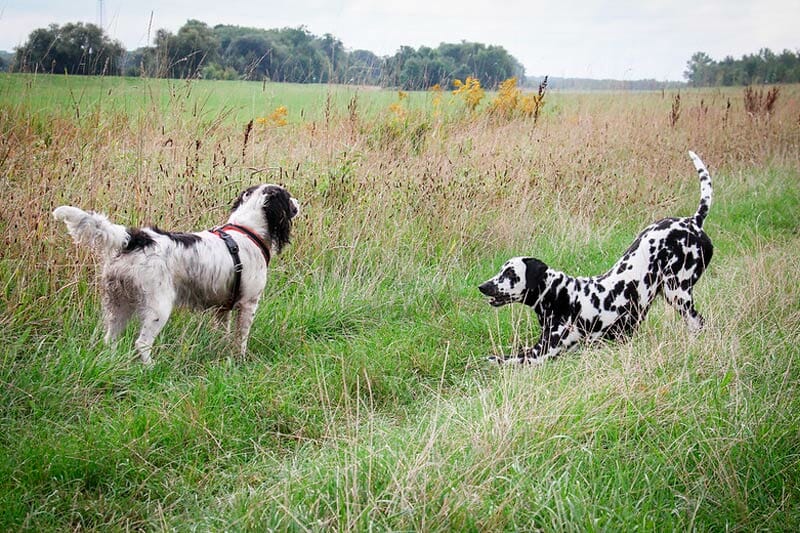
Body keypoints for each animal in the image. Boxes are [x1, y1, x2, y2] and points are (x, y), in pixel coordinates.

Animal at [54, 185, 300, 364]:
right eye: (288, 197)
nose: (298, 202)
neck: (247, 231)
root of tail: (134, 238)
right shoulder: (248, 303)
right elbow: (241, 339)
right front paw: (240, 360)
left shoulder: (223, 308)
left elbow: (223, 334)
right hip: (158, 307)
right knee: (141, 343)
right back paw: (151, 368)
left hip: (118, 303)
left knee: (110, 339)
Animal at [478, 152, 716, 364]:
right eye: (501, 270)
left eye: (510, 274)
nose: (482, 286)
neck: (560, 294)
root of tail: (693, 221)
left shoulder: (541, 353)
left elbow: (501, 359)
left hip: (677, 292)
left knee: (698, 322)